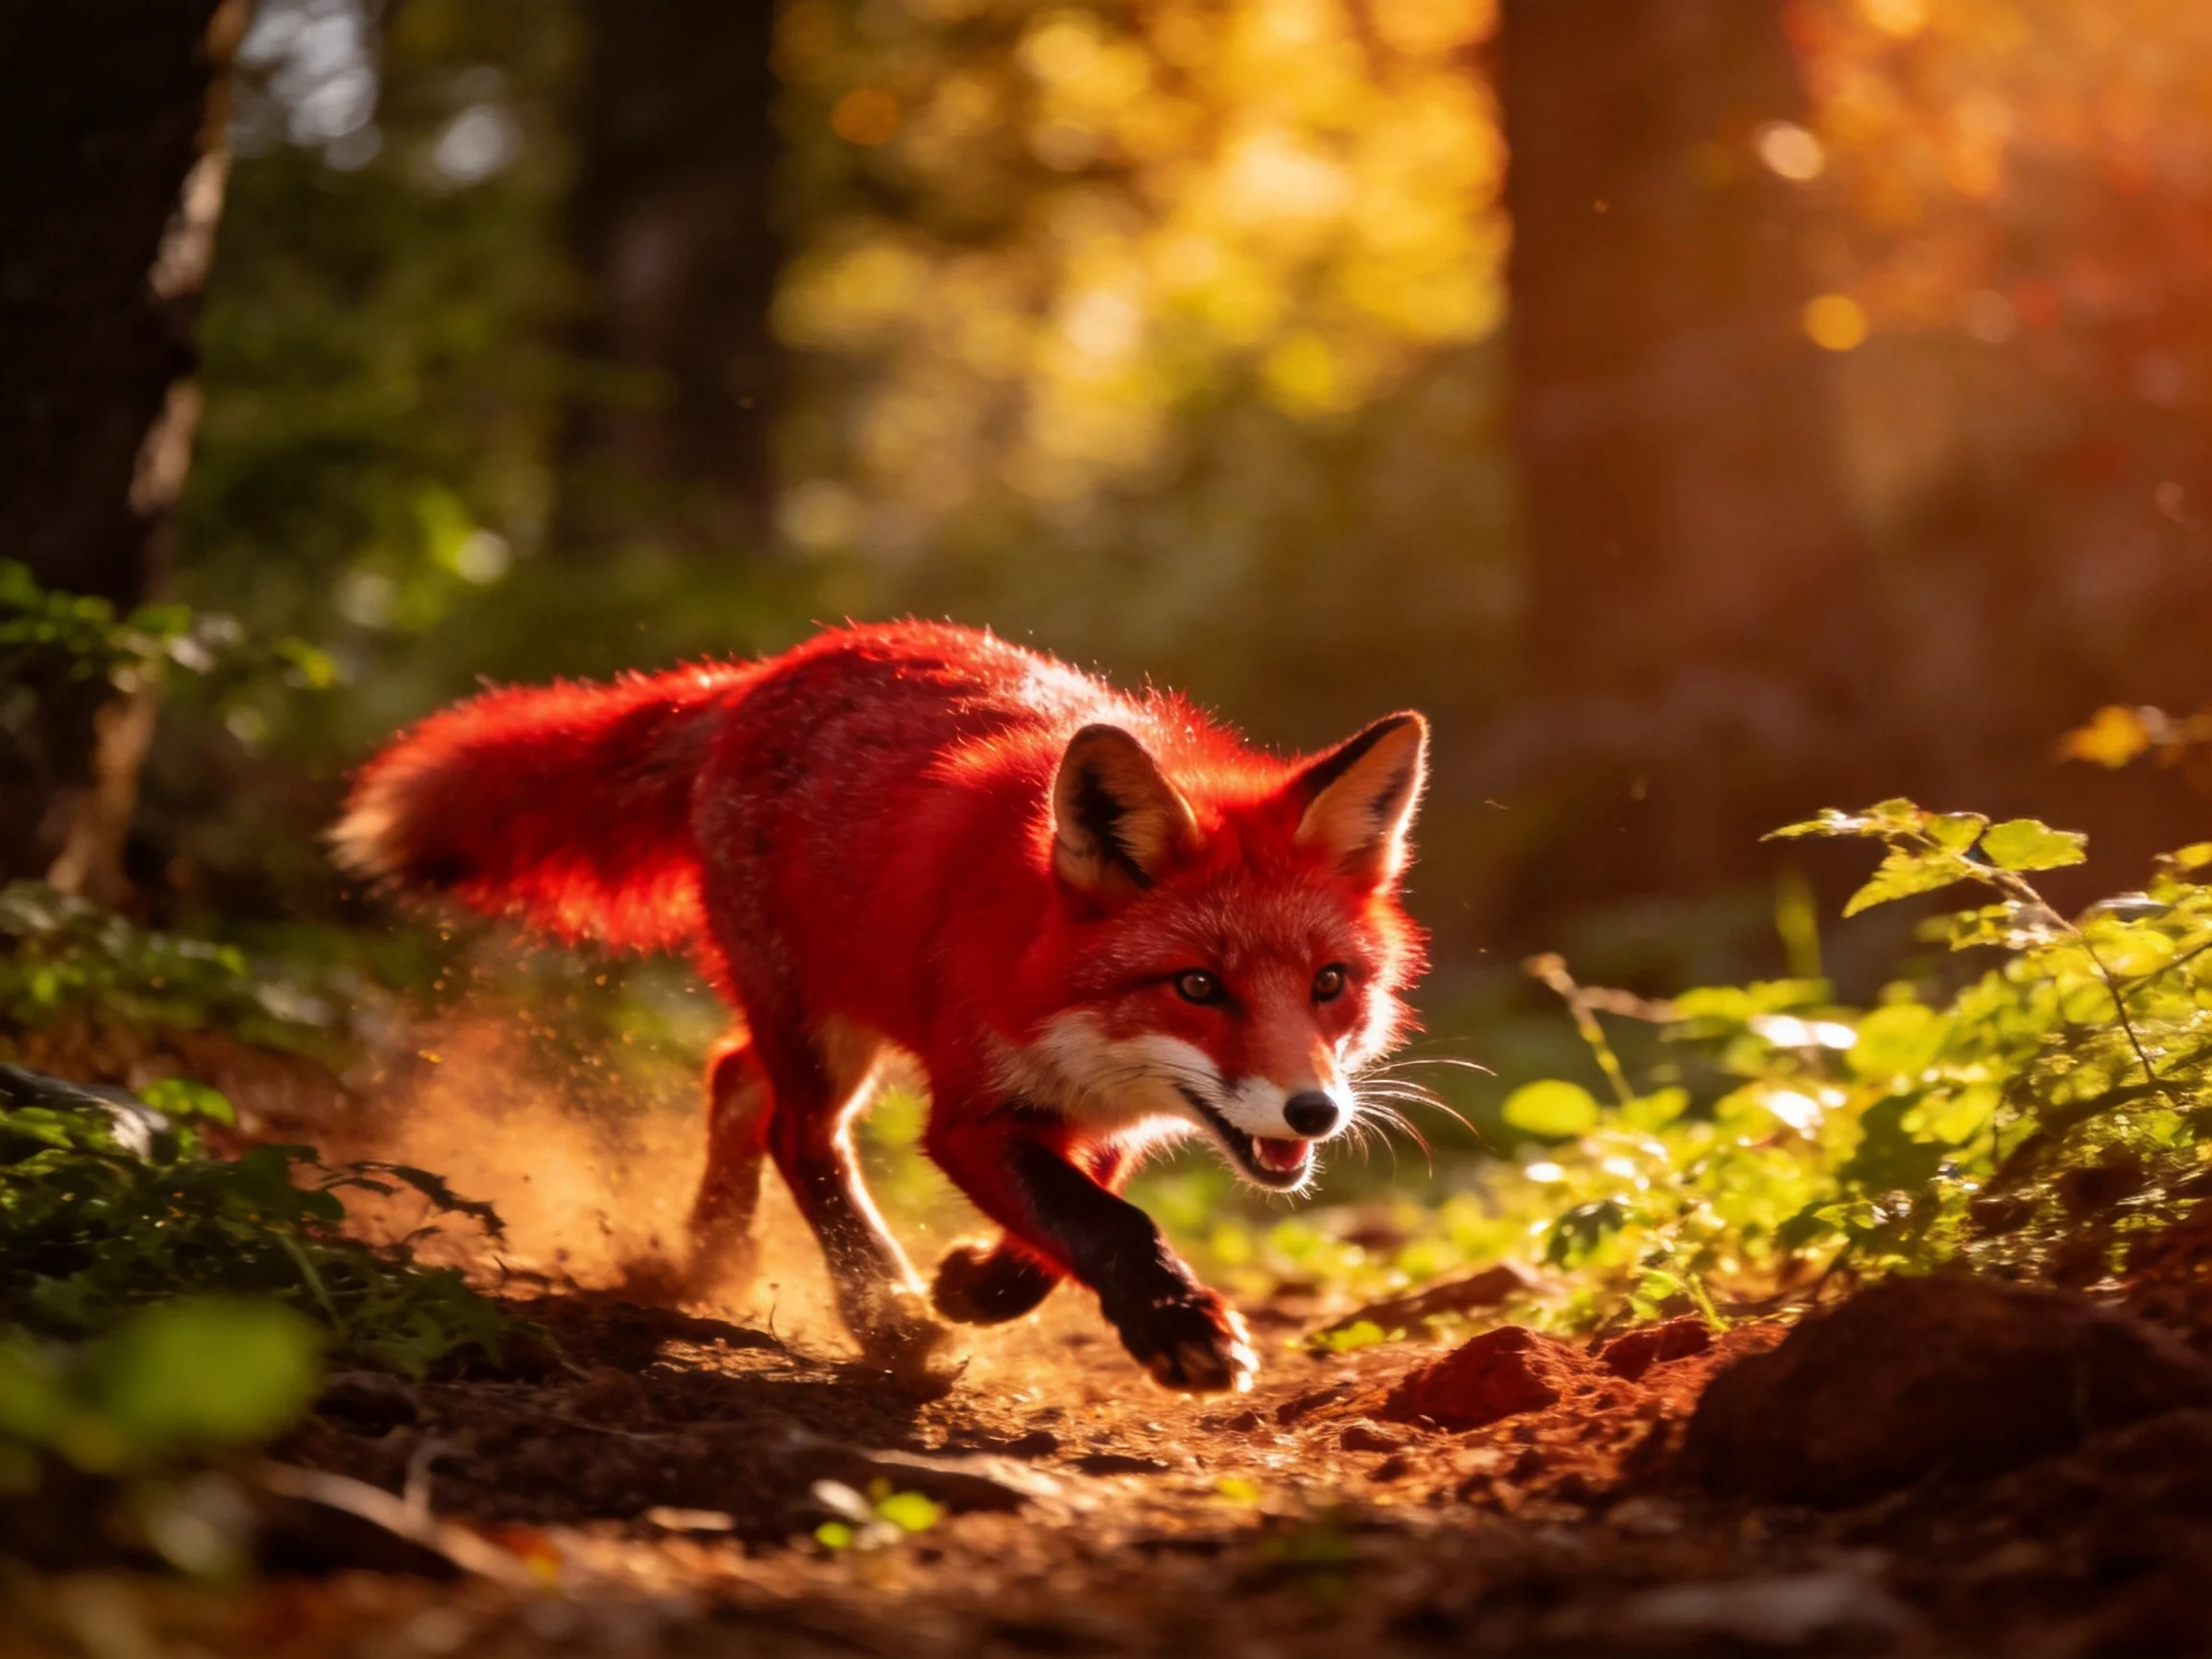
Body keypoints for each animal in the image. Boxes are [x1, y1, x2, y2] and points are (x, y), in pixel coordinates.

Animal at [333, 621, 1428, 1392]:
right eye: (1199, 985)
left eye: (1329, 984)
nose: (1313, 1113)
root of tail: (765, 670)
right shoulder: (971, 1109)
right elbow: (1106, 1220)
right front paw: (1175, 1321)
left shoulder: (1100, 1115)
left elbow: (1068, 1222)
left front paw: (981, 1285)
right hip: (819, 1030)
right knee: (799, 1137)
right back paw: (882, 1316)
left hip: (815, 1016)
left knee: (734, 1078)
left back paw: (718, 1252)